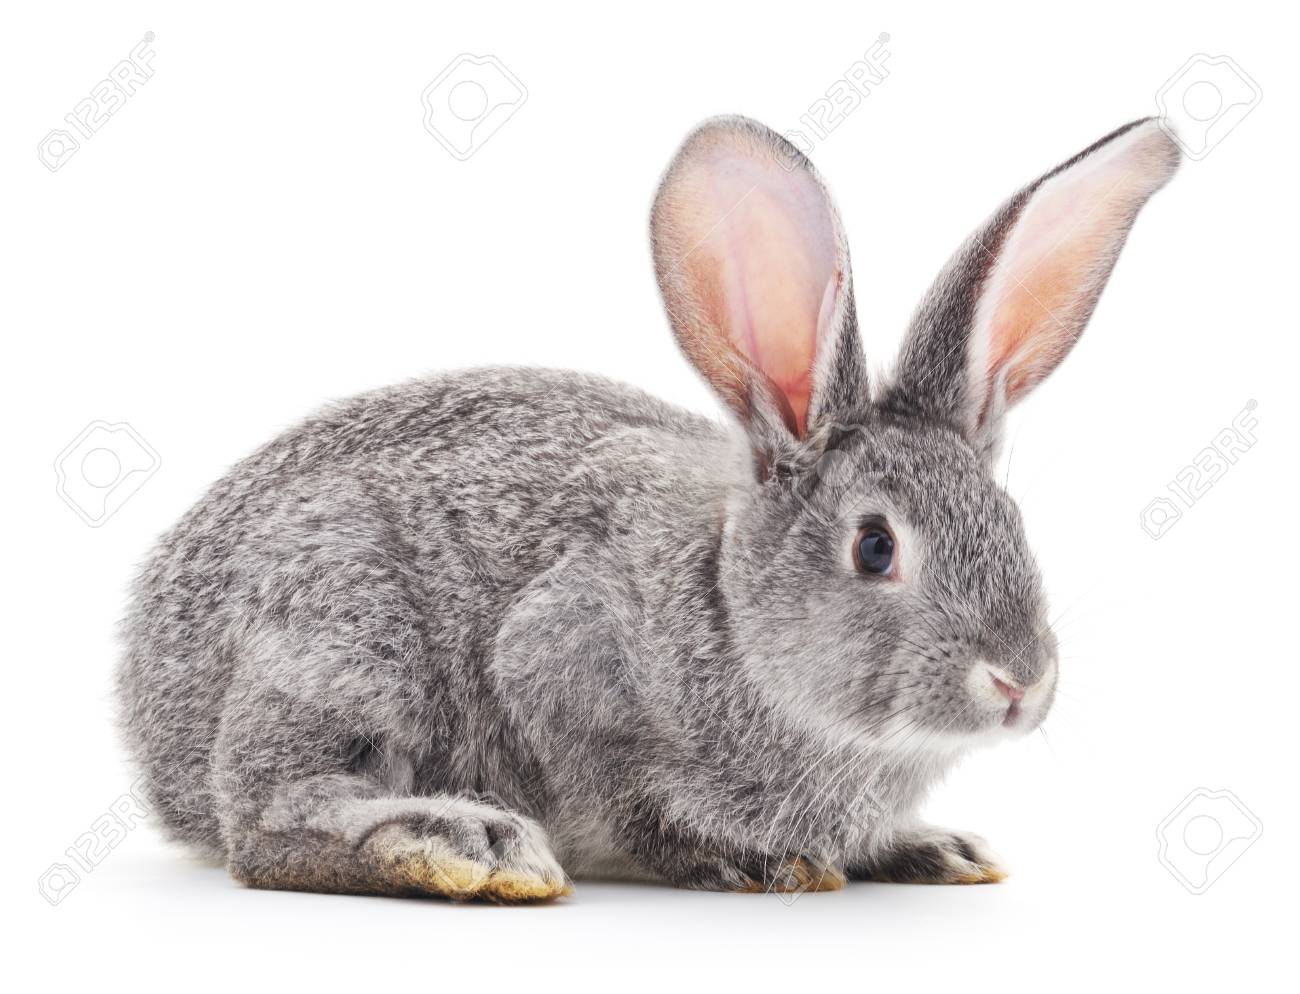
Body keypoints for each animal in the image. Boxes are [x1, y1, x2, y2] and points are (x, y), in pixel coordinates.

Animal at [117, 114, 1179, 900]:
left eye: (1014, 525)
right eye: (876, 547)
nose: (1019, 683)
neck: (733, 616)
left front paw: (931, 849)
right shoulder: (559, 660)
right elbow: (633, 797)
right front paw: (753, 861)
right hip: (342, 634)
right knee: (265, 823)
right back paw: (467, 846)